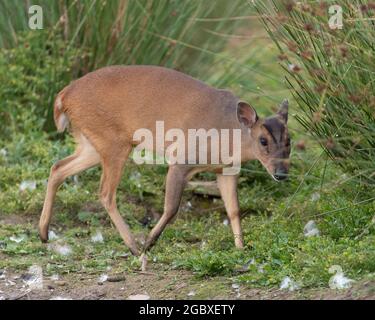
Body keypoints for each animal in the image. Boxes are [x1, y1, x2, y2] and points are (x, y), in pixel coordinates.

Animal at [39, 65, 292, 270]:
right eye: (263, 141)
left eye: (289, 140)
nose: (281, 173)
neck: (226, 133)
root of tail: (63, 96)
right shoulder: (181, 160)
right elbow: (171, 208)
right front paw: (150, 241)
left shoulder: (226, 170)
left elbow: (234, 210)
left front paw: (241, 249)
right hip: (113, 142)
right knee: (105, 192)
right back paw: (134, 247)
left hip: (91, 143)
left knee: (58, 167)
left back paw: (43, 233)